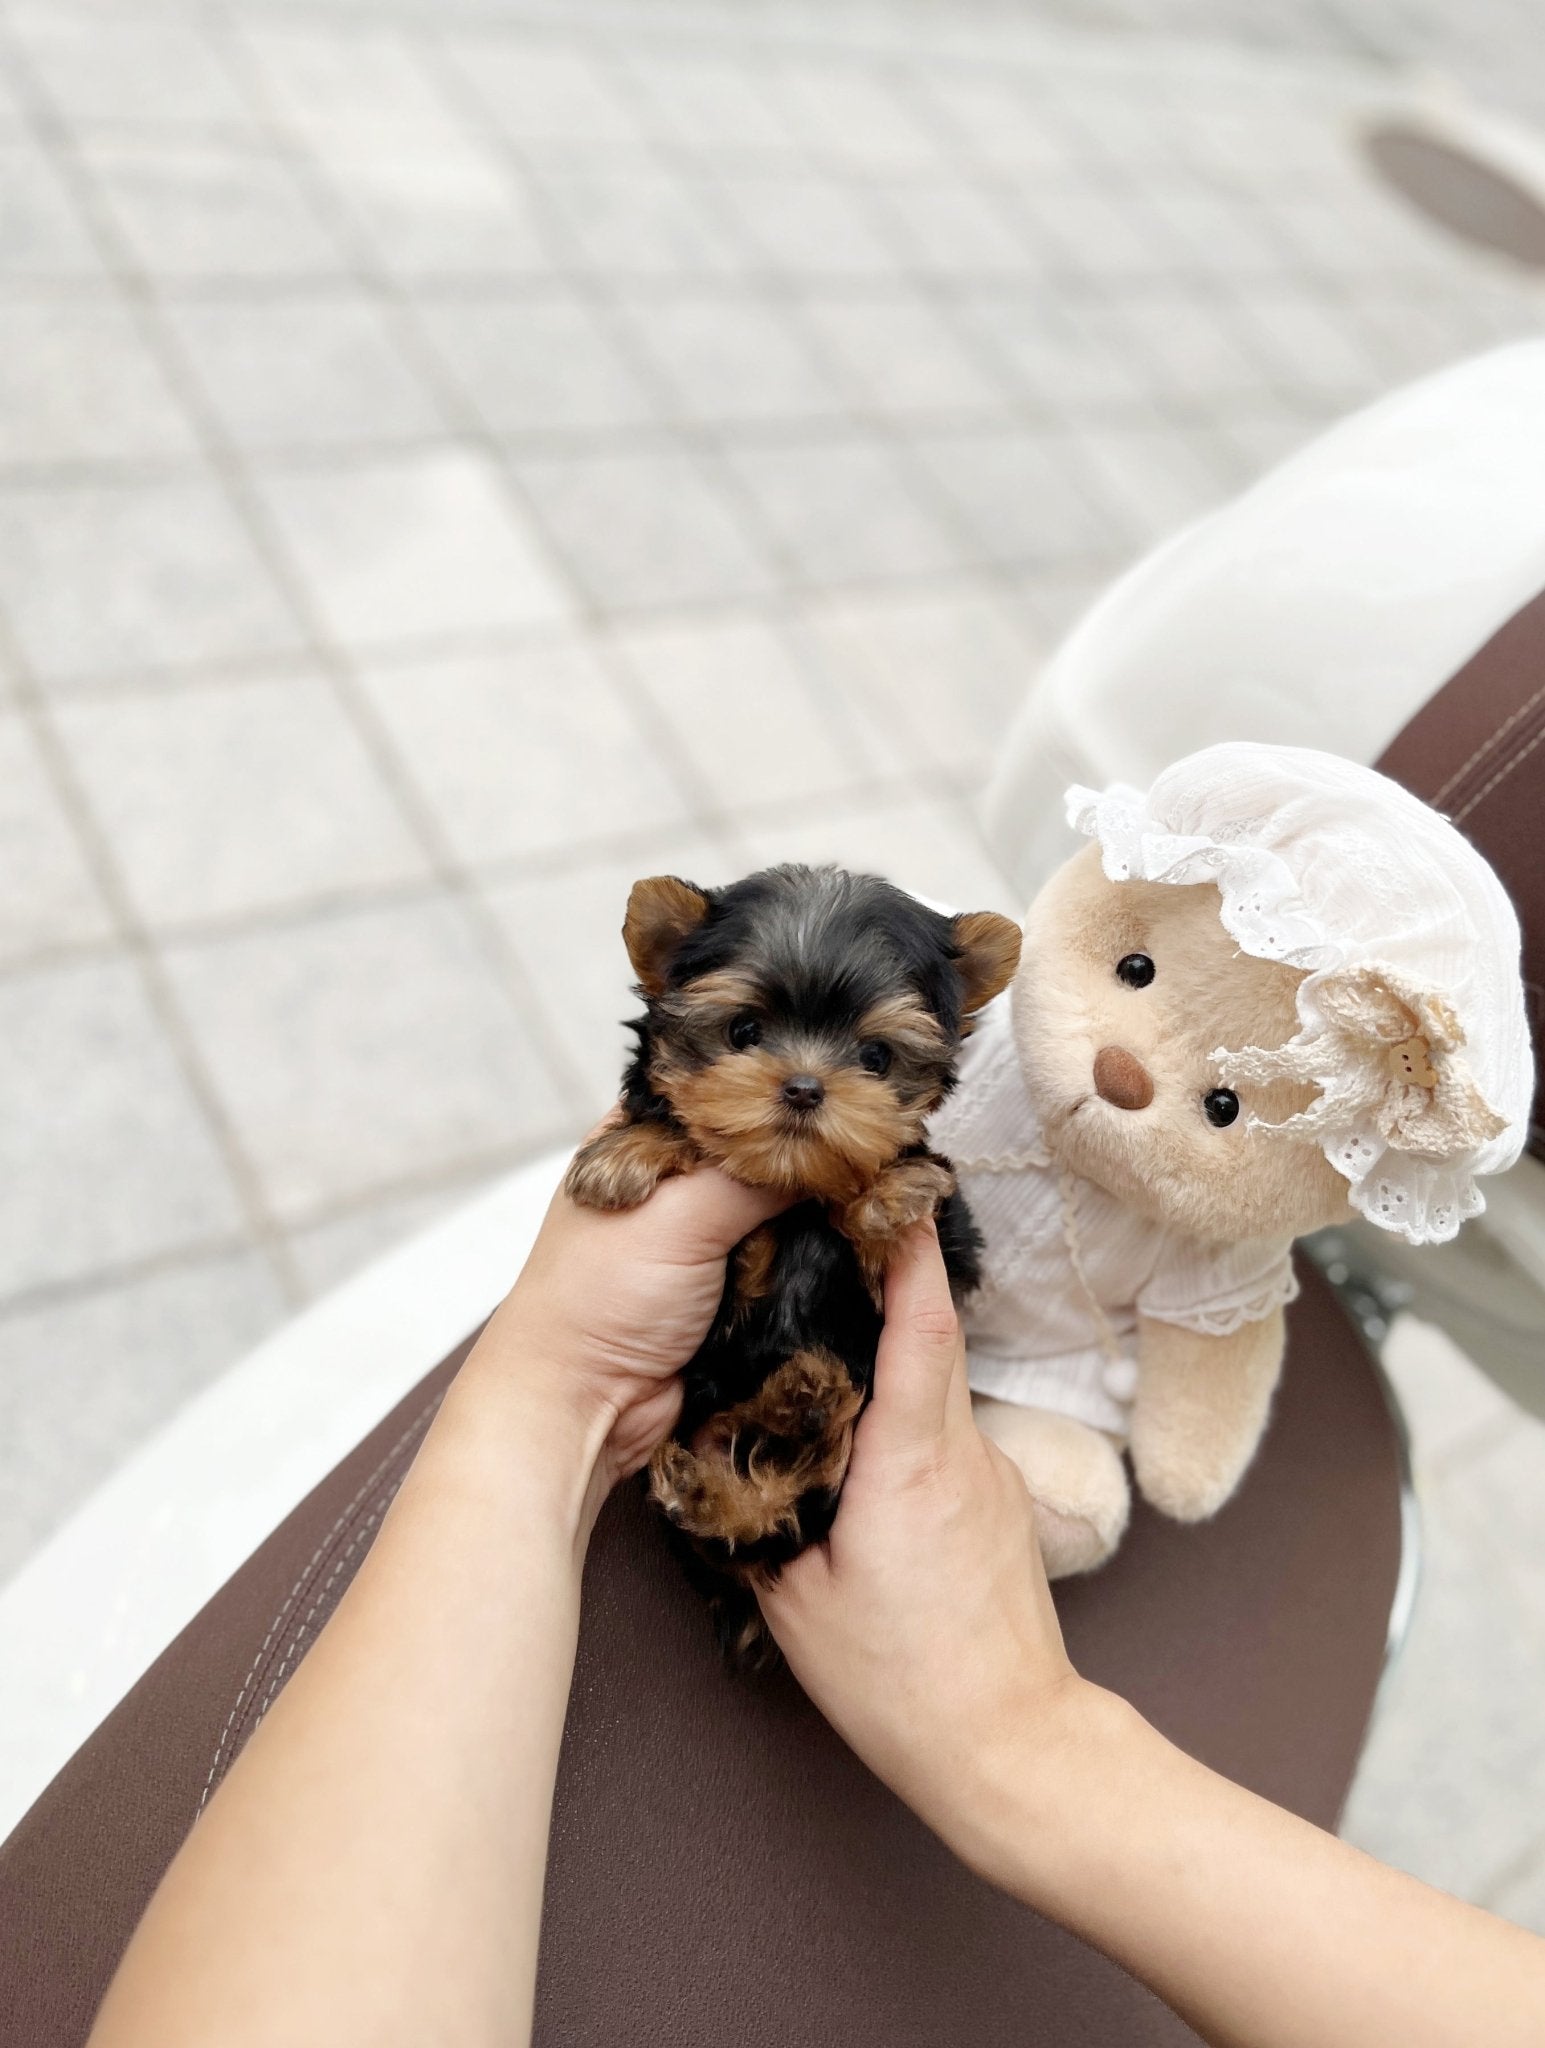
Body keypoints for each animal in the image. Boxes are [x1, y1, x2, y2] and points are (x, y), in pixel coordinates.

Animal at [561, 864, 1016, 1662]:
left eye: (875, 1057)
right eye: (743, 1031)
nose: (804, 1087)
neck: (791, 1188)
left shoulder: (936, 1257)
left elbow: (883, 1230)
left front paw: (883, 1194)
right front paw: (630, 1151)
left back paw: (801, 1406)